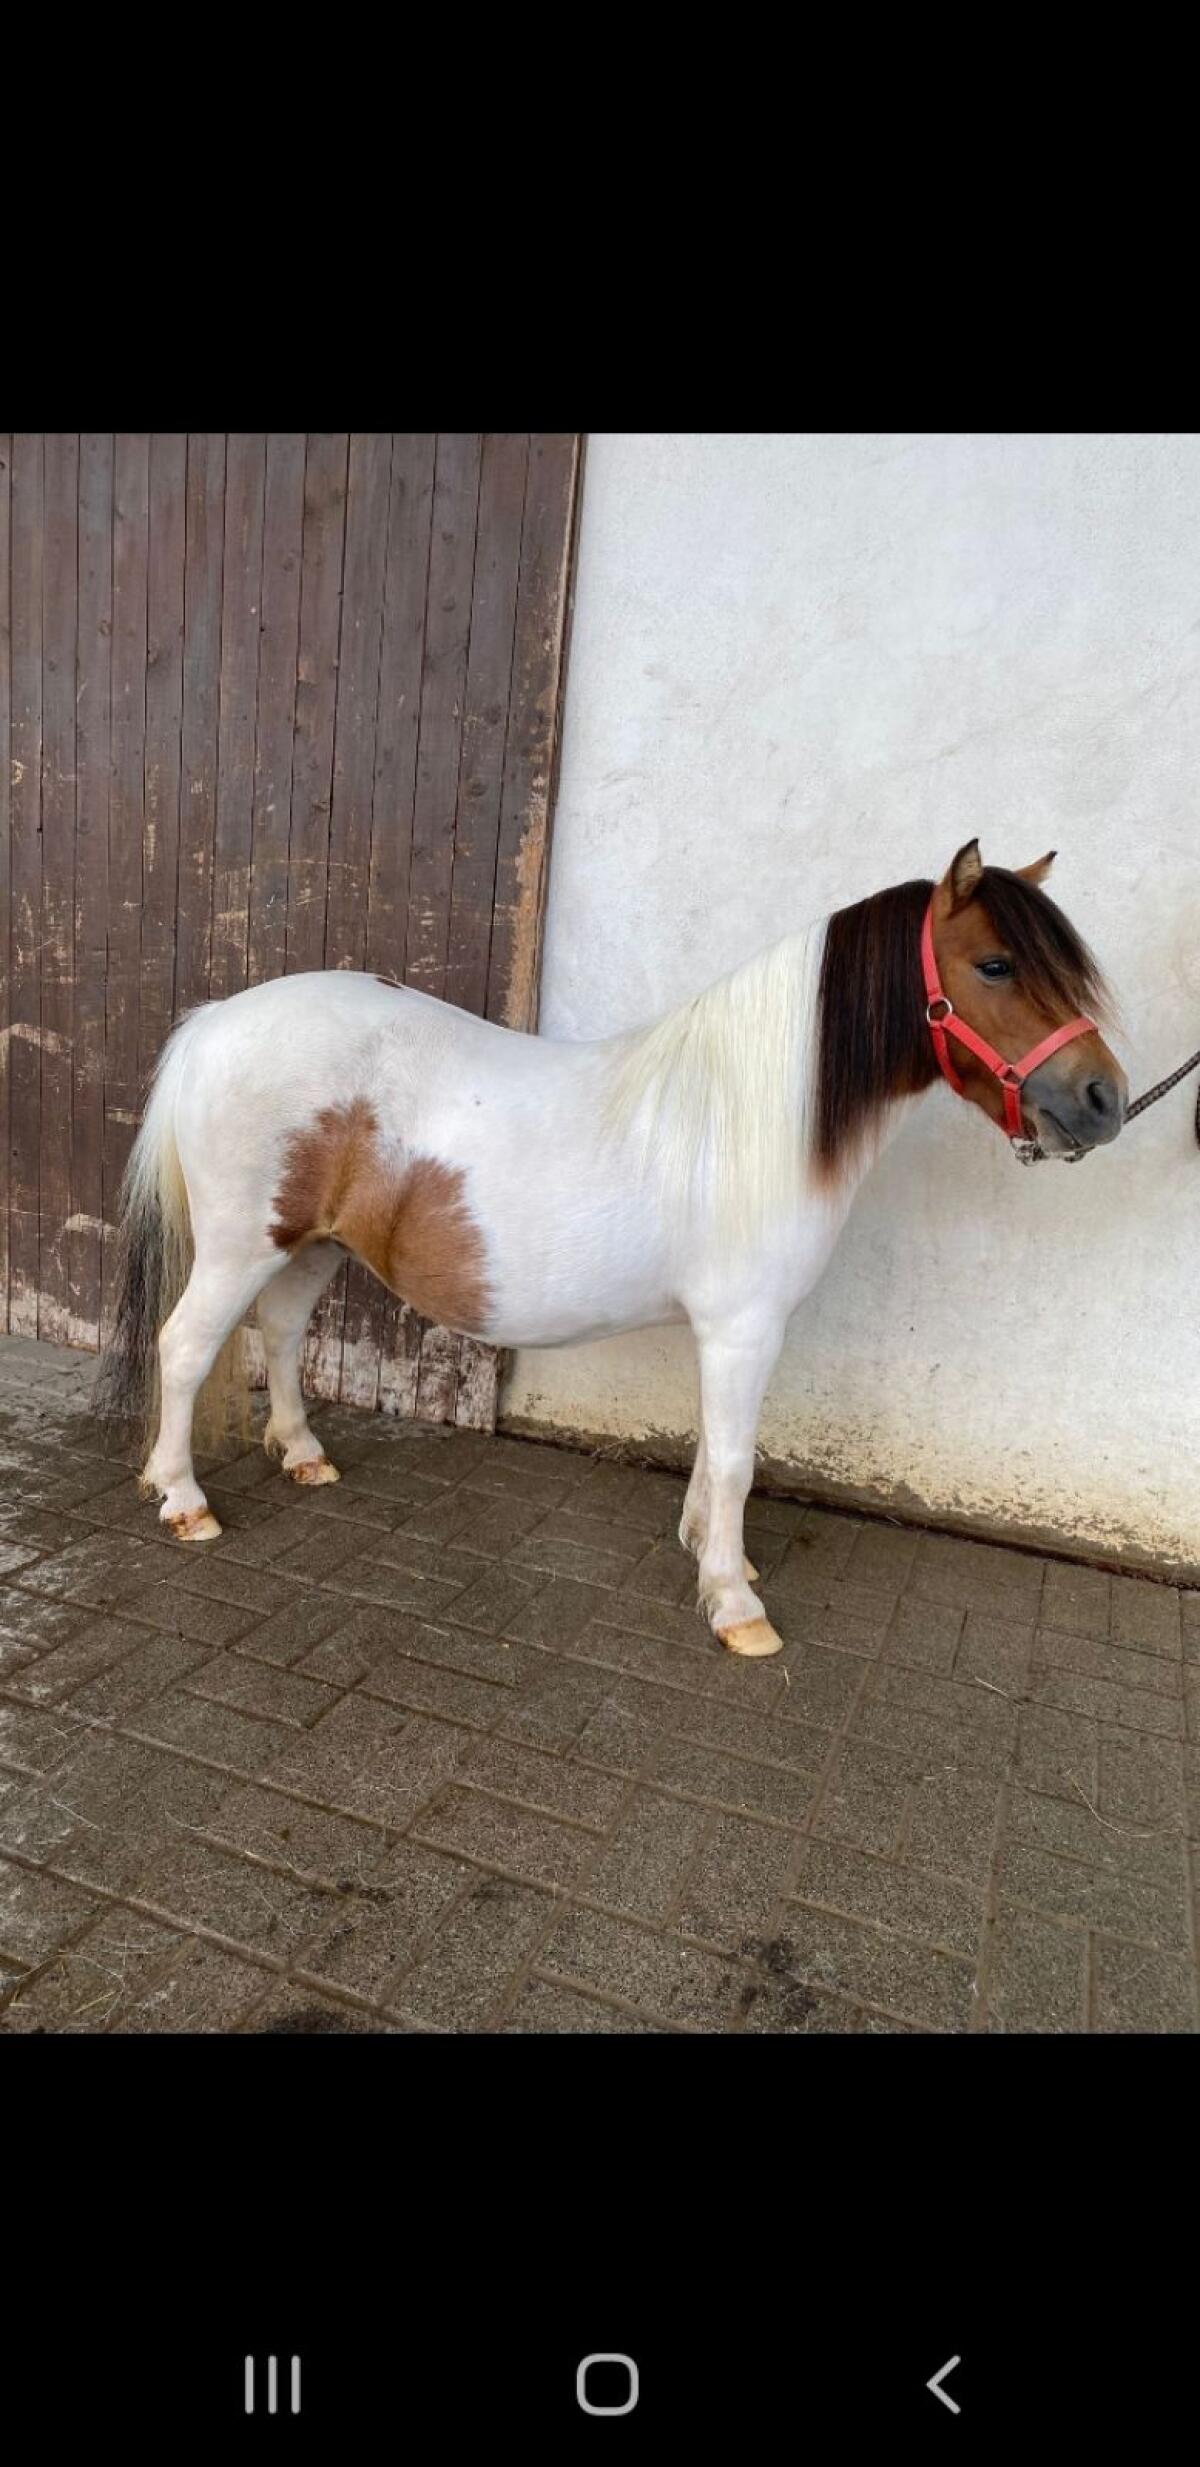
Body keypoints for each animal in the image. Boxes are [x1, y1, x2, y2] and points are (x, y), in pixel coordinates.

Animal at [96, 837, 1126, 1659]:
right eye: (994, 964)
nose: (1103, 1099)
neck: (750, 1117)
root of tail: (215, 1020)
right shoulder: (743, 1328)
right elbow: (737, 1457)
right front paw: (736, 1605)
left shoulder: (724, 1333)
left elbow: (713, 1445)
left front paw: (710, 1549)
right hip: (240, 1245)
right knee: (184, 1350)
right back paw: (183, 1499)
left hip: (310, 1244)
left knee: (277, 1333)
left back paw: (302, 1453)